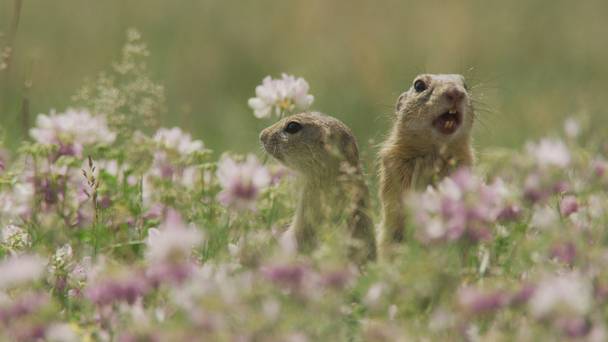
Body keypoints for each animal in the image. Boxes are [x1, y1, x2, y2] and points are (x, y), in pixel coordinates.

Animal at [378, 73, 478, 258]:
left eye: (465, 85)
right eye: (419, 85)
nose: (455, 92)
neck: (436, 152)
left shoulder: (464, 163)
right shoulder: (395, 162)